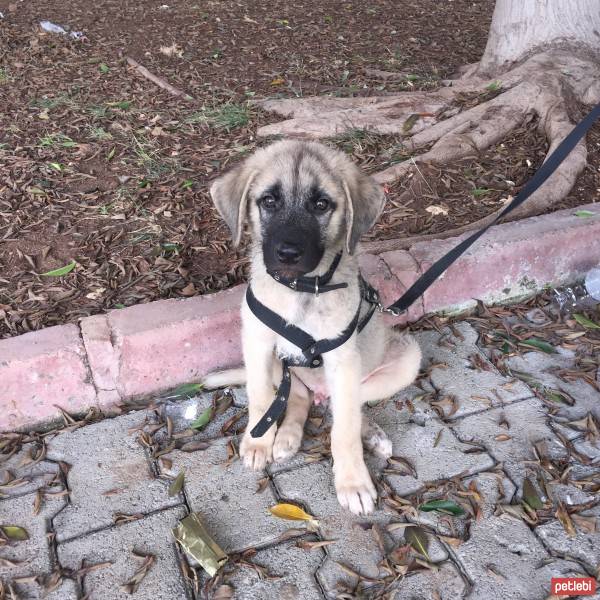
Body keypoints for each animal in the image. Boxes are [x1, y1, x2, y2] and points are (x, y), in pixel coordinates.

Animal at [206, 141, 422, 516]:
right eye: (269, 201)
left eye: (321, 204)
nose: (287, 253)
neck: (301, 289)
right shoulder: (257, 342)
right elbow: (261, 398)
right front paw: (258, 442)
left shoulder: (343, 358)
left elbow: (345, 429)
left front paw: (353, 483)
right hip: (283, 368)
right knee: (300, 396)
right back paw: (287, 437)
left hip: (404, 359)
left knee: (344, 407)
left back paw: (372, 436)